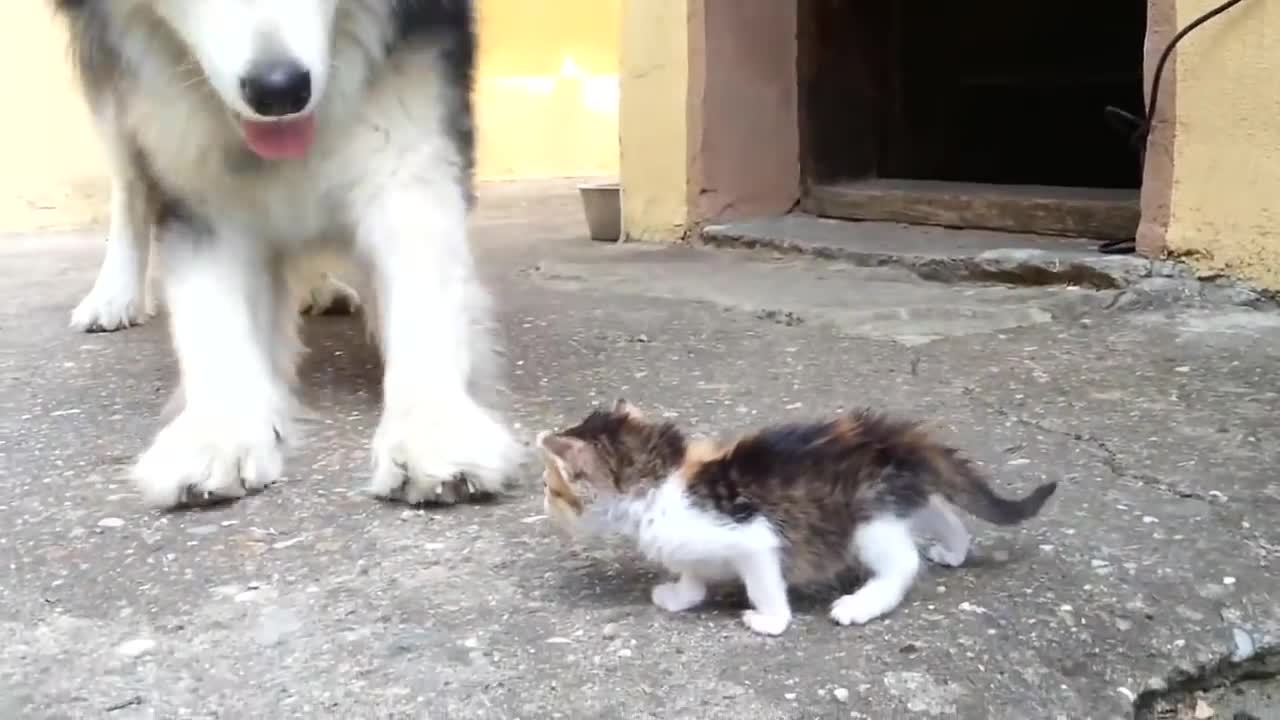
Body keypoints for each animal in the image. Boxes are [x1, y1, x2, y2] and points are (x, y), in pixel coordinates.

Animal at [53, 0, 524, 504]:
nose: (279, 91)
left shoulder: (409, 127)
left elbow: (423, 295)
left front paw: (435, 429)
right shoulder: (192, 170)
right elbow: (208, 307)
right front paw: (218, 430)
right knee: (129, 183)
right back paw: (113, 296)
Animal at [535, 397, 1054, 632]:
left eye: (552, 488)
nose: (542, 502)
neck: (661, 483)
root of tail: (893, 437)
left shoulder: (753, 537)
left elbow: (763, 582)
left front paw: (770, 621)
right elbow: (693, 572)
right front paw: (682, 595)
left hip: (865, 519)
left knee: (903, 563)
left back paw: (860, 604)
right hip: (897, 497)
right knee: (941, 508)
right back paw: (954, 549)